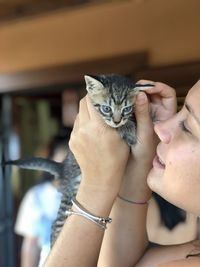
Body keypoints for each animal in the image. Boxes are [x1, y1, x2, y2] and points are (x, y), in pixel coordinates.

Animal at [6, 75, 153, 247]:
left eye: (127, 109)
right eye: (106, 109)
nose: (117, 121)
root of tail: (63, 168)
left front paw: (133, 123)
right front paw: (127, 129)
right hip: (70, 192)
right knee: (55, 223)